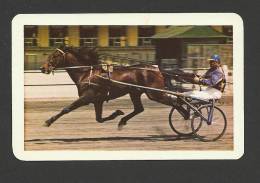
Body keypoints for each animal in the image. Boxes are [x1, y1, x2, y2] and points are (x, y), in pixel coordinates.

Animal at [39, 46, 196, 129]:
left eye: (54, 56)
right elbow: (99, 119)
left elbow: (66, 108)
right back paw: (122, 120)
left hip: (154, 93)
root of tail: (157, 69)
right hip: (135, 92)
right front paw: (117, 113)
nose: (42, 68)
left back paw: (187, 115)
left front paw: (48, 121)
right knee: (139, 108)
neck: (86, 74)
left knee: (175, 101)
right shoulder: (98, 100)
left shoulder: (86, 97)